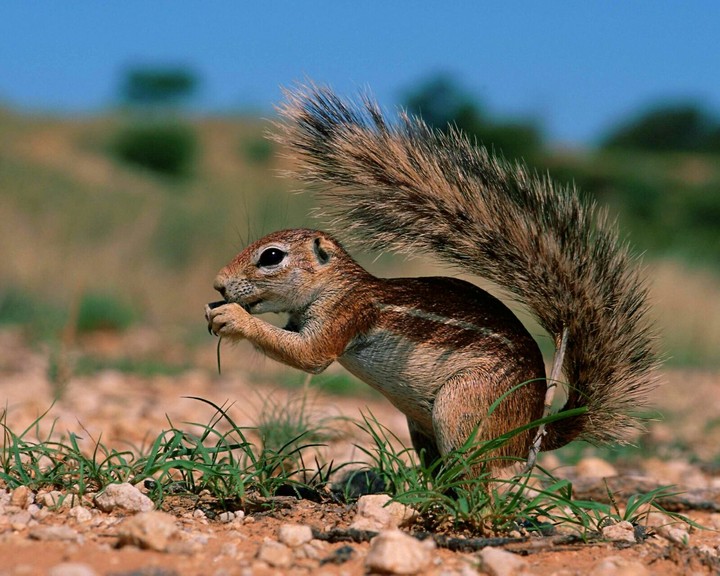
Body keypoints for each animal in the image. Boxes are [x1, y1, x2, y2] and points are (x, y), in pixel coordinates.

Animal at [205, 84, 657, 472]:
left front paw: (231, 318)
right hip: (421, 427)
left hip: (464, 405)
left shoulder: (347, 314)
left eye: (271, 257)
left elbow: (309, 356)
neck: (338, 286)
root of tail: (530, 432)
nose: (219, 285)